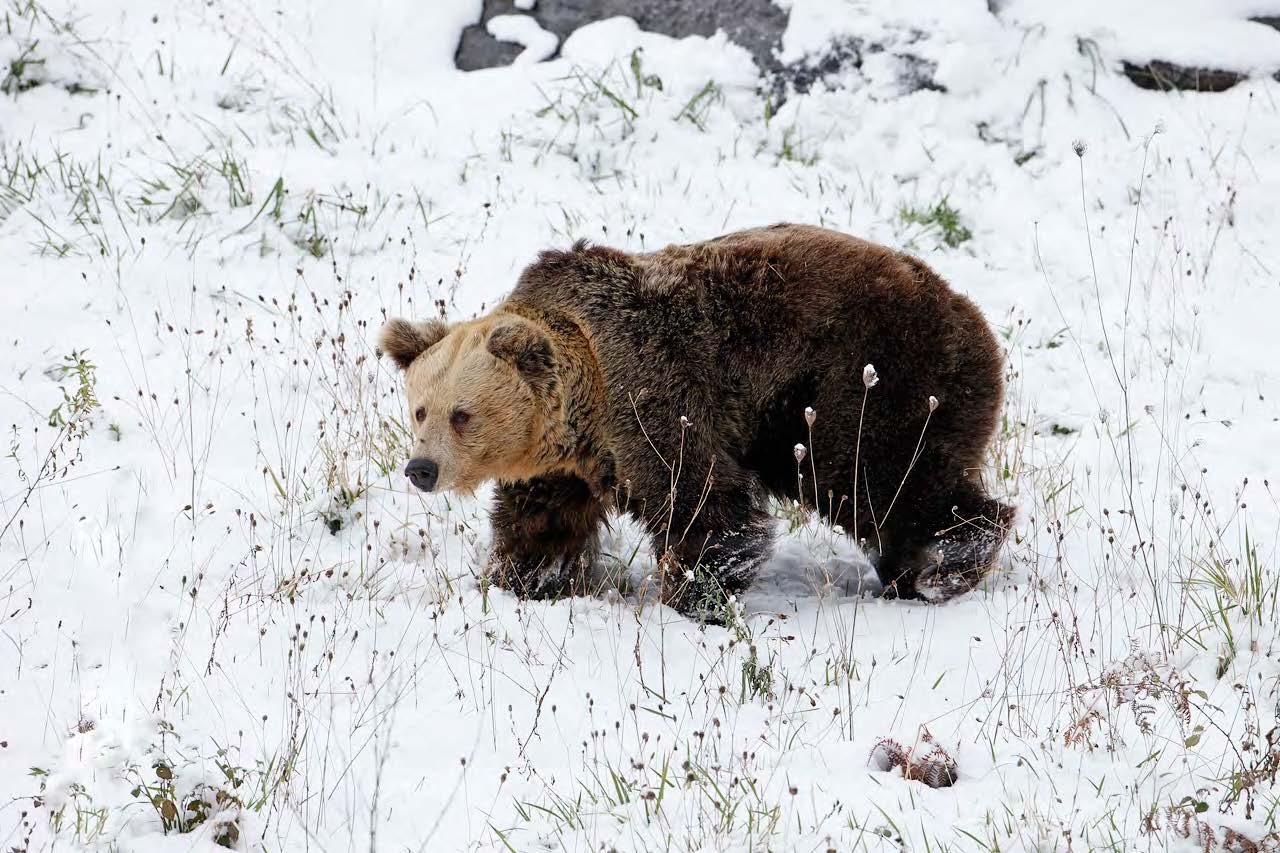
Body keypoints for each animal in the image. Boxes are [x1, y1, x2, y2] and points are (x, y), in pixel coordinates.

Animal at [373, 222, 1013, 614]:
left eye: (461, 414)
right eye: (420, 409)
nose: (421, 468)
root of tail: (972, 314)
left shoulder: (649, 393)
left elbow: (703, 500)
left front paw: (696, 590)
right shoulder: (563, 462)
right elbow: (541, 521)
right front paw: (522, 578)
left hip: (870, 380)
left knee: (886, 476)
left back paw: (945, 566)